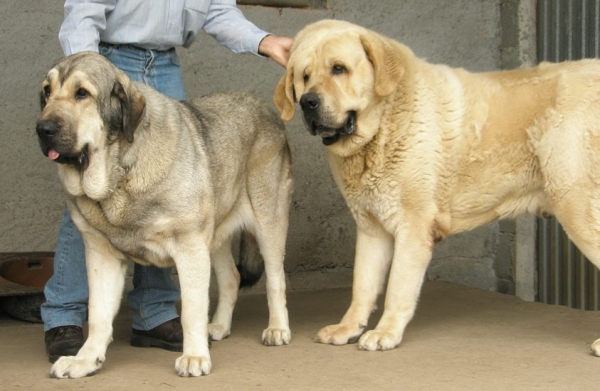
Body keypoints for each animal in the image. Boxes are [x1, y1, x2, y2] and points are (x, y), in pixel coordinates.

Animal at [276, 19, 600, 354]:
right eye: (304, 76)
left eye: (339, 68)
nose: (308, 102)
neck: (382, 128)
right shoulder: (371, 228)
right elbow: (362, 286)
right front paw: (348, 328)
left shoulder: (413, 227)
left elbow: (397, 287)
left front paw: (385, 332)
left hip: (576, 206)